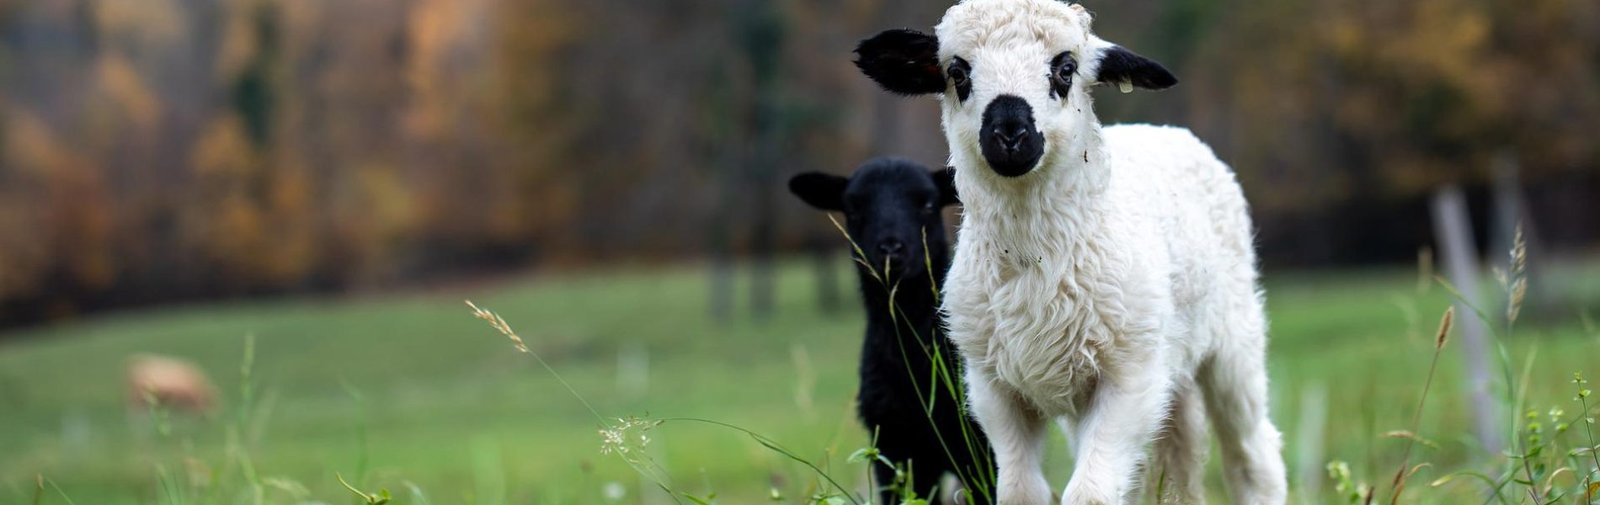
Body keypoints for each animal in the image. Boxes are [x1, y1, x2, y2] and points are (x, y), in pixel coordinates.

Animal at [852, 1, 1288, 504]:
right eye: (957, 72)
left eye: (1065, 68)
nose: (1009, 133)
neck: (1036, 264)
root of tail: (1161, 128)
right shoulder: (992, 389)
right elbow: (1022, 491)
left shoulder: (1129, 378)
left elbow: (1090, 493)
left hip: (1233, 340)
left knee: (1253, 456)